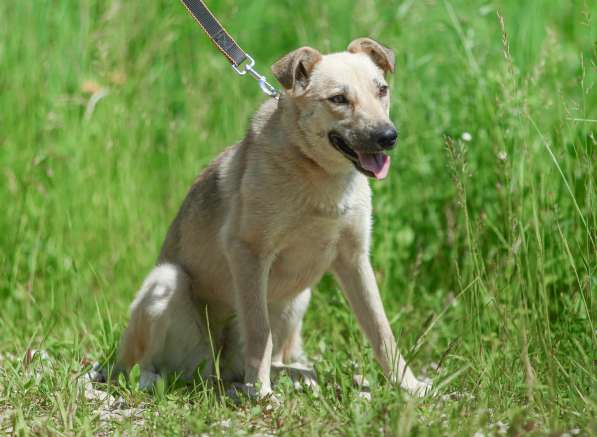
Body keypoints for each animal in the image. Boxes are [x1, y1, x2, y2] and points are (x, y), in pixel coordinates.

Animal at [110, 39, 428, 396]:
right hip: (166, 282)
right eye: (338, 99)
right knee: (141, 364)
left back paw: (295, 374)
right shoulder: (248, 252)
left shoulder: (354, 259)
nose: (388, 136)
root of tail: (218, 370)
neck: (318, 173)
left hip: (298, 299)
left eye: (382, 90)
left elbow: (380, 328)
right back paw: (153, 378)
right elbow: (259, 331)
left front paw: (408, 385)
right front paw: (260, 392)